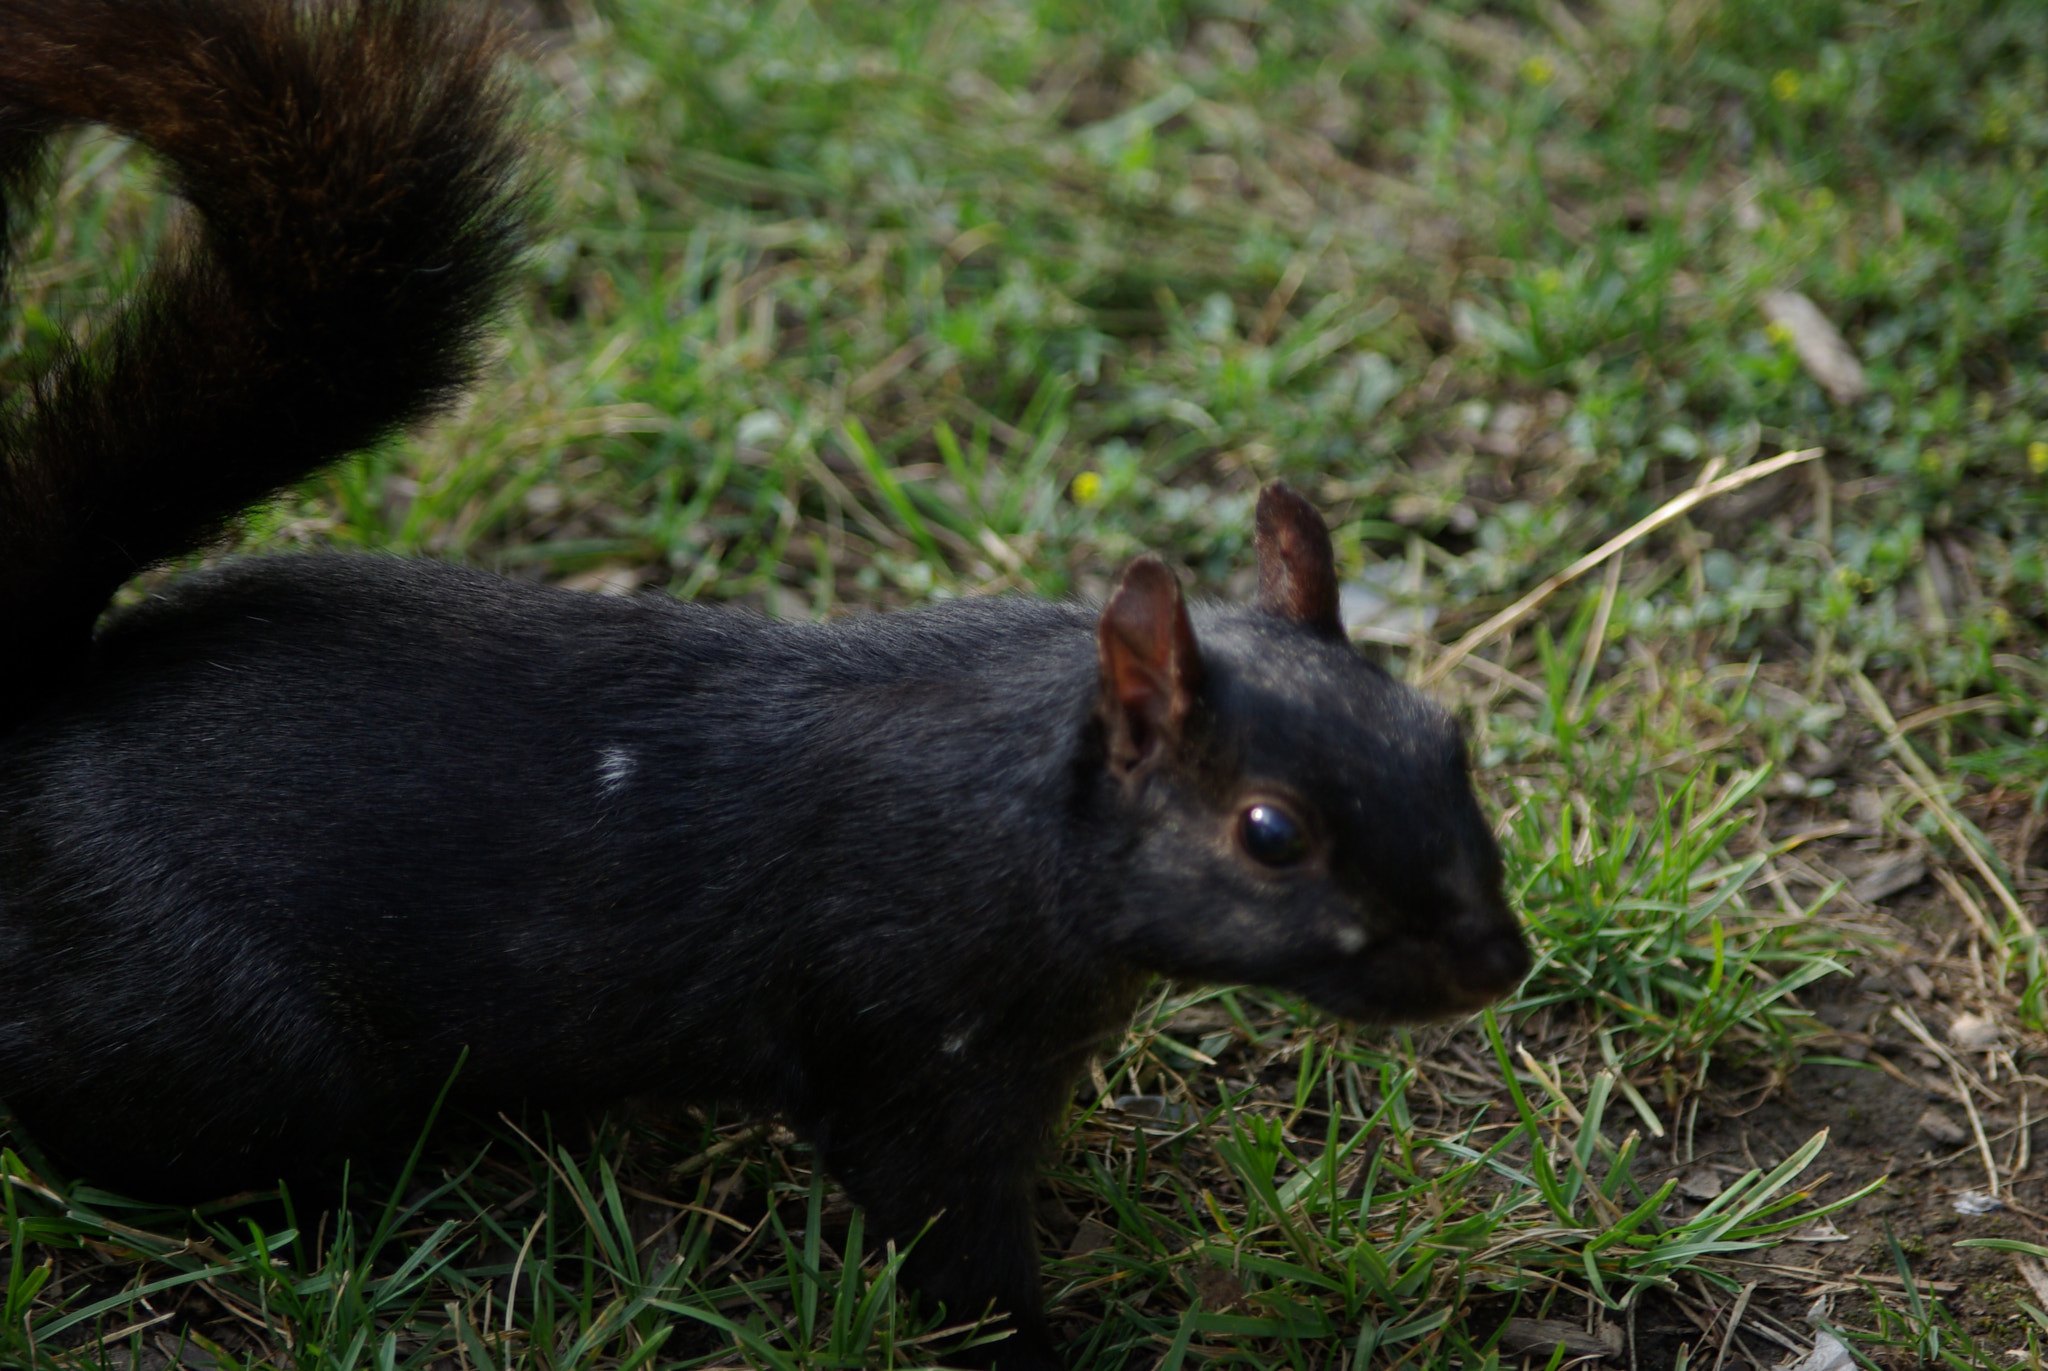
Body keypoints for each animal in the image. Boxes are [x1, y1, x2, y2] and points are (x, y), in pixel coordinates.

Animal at [0, 5, 1531, 1360]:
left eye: (1444, 735)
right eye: (1269, 832)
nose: (1499, 964)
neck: (1019, 814)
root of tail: (35, 733)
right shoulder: (907, 1048)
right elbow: (949, 1241)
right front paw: (1048, 1342)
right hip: (228, 1045)